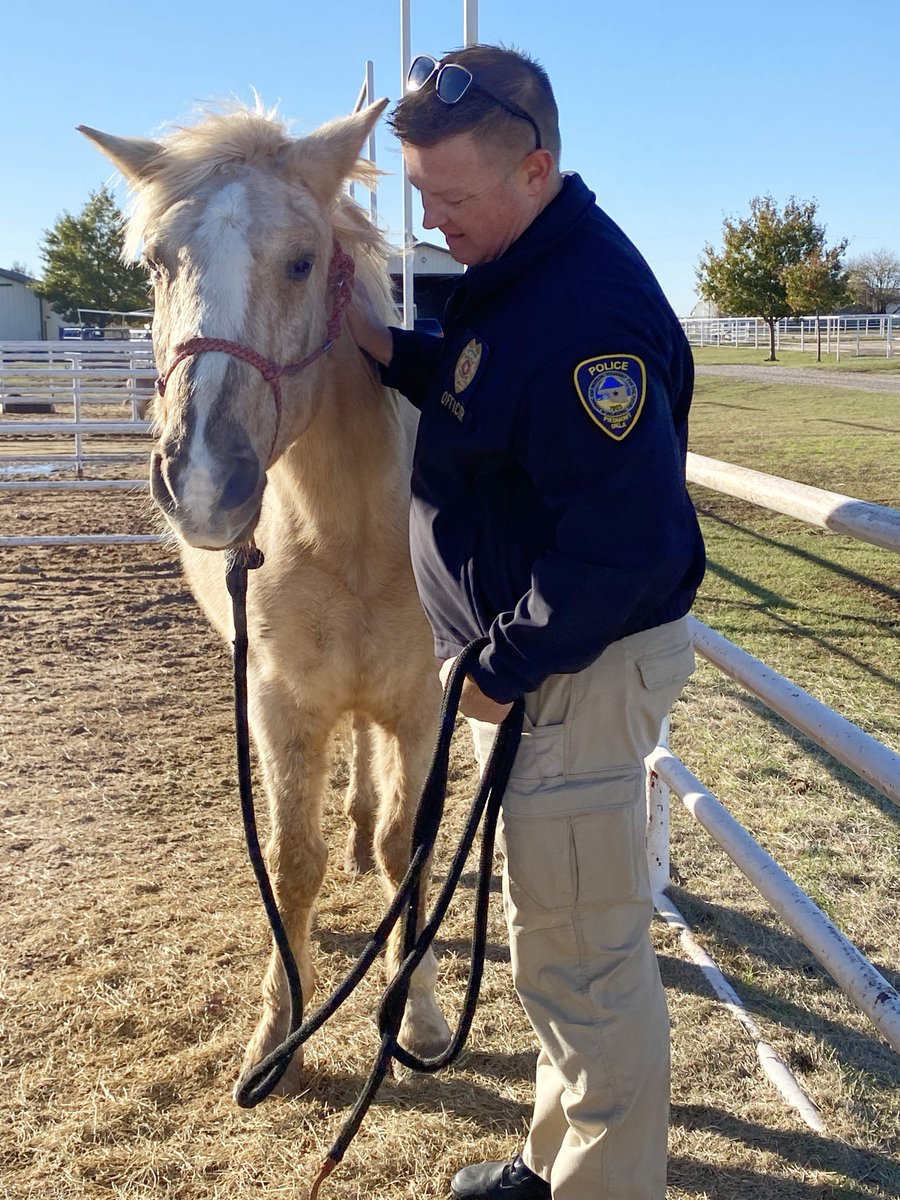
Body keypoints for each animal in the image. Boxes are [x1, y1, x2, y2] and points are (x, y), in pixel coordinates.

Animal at [79, 99, 451, 1093]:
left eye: (301, 261)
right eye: (158, 263)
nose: (206, 481)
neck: (351, 534)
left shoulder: (423, 705)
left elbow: (408, 849)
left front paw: (420, 1016)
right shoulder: (280, 704)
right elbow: (290, 863)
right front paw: (279, 1028)